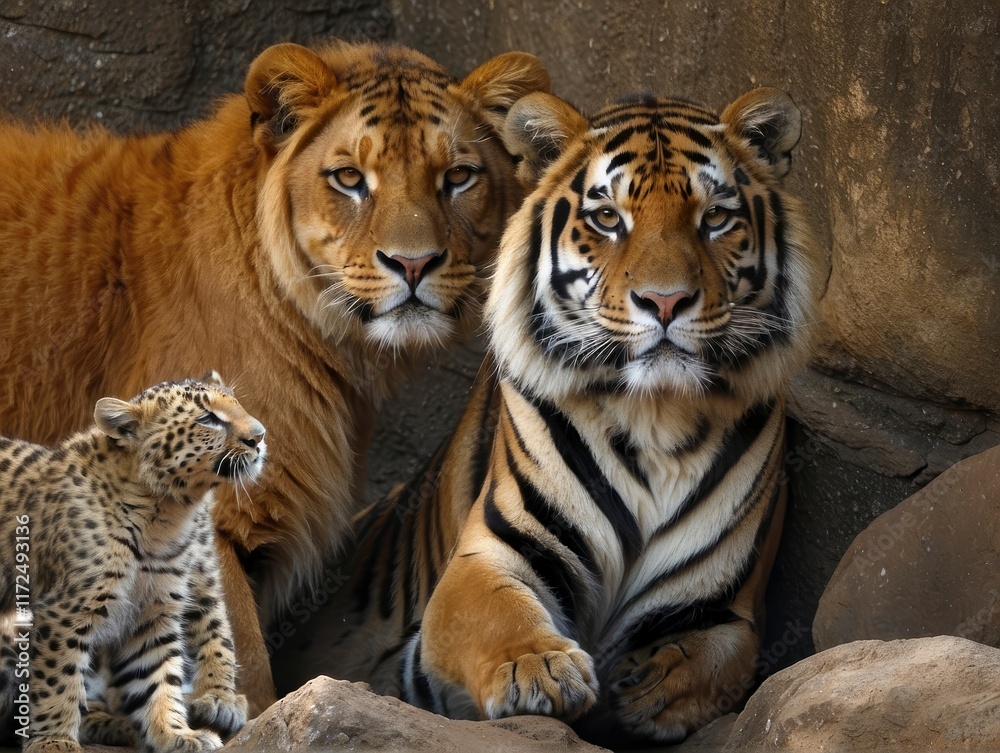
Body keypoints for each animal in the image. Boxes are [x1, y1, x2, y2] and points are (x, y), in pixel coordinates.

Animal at [274, 86, 819, 745]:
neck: (656, 416)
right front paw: (537, 669)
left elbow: (718, 660)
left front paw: (648, 687)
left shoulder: (728, 609)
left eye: (715, 218)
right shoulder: (492, 554)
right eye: (608, 218)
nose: (665, 301)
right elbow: (496, 614)